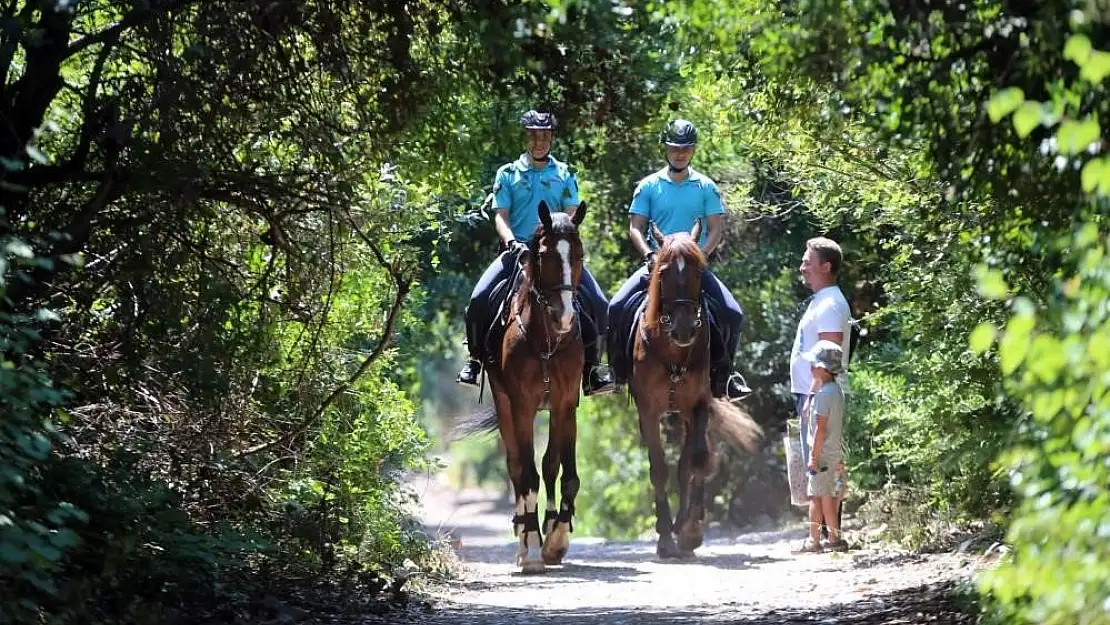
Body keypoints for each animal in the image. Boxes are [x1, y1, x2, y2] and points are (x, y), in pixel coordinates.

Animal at [455, 199, 590, 572]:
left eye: (579, 254)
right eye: (543, 255)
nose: (565, 317)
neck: (546, 340)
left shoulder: (564, 404)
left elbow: (565, 473)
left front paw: (557, 541)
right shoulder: (522, 406)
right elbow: (526, 474)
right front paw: (531, 545)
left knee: (548, 466)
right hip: (505, 407)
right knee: (516, 467)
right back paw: (523, 534)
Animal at [634, 218, 763, 557]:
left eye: (699, 271)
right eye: (664, 272)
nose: (683, 329)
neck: (673, 351)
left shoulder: (699, 405)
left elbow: (697, 461)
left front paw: (689, 530)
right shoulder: (648, 411)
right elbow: (659, 469)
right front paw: (666, 537)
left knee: (693, 460)